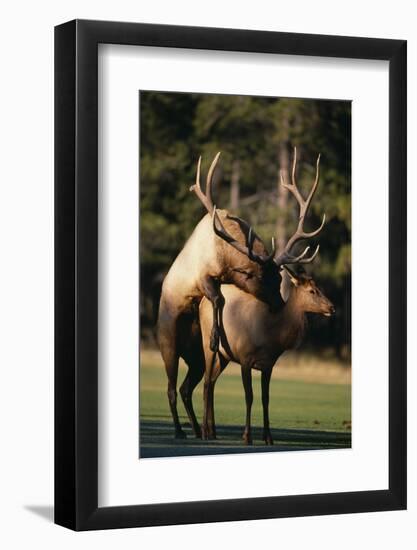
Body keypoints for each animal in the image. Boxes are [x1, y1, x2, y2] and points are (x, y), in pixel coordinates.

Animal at [156, 150, 318, 440]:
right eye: (264, 278)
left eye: (280, 278)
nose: (279, 305)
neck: (227, 255)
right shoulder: (203, 275)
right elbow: (217, 299)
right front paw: (214, 337)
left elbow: (220, 300)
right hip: (168, 341)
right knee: (172, 388)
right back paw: (180, 431)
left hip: (195, 359)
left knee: (188, 387)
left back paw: (200, 430)